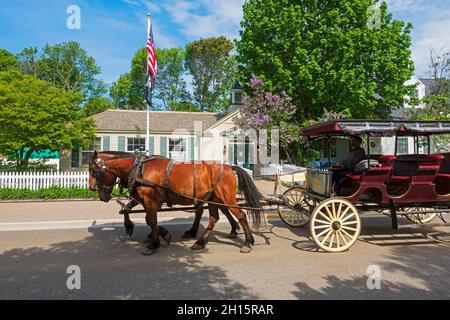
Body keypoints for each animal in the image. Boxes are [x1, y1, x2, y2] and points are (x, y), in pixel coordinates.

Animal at [88, 151, 264, 254]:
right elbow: (145, 218)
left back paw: (248, 242)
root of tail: (228, 167)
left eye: (94, 171)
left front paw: (154, 243)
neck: (138, 168)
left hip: (226, 197)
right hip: (213, 199)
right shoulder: (145, 200)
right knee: (214, 218)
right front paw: (157, 234)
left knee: (240, 215)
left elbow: (151, 220)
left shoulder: (150, 200)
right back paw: (200, 242)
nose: (91, 188)